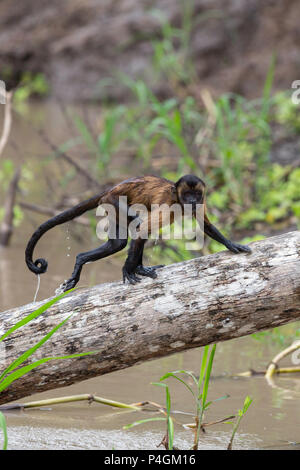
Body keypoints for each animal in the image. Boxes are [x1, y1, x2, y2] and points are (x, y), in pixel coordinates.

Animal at [25, 174, 251, 290]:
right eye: (187, 194)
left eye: (196, 194)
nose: (193, 201)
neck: (177, 200)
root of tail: (110, 190)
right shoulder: (167, 205)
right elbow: (142, 228)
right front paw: (127, 269)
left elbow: (206, 226)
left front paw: (232, 244)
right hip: (113, 202)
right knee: (134, 228)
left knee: (118, 243)